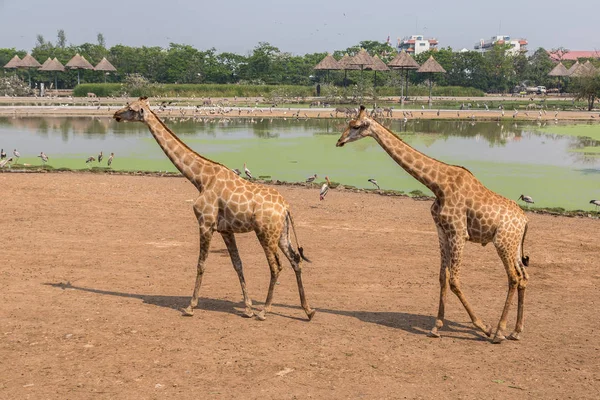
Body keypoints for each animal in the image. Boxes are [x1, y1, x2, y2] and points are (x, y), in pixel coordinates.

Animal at [114, 97, 316, 322]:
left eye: (130, 108)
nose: (116, 115)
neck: (200, 179)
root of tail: (286, 208)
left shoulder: (205, 223)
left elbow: (201, 264)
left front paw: (190, 306)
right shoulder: (226, 230)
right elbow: (237, 264)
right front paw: (247, 308)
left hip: (266, 233)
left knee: (276, 266)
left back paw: (265, 311)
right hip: (282, 234)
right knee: (295, 260)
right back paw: (308, 310)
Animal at [338, 106, 528, 344]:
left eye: (355, 126)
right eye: (348, 123)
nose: (339, 141)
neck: (438, 185)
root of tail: (525, 220)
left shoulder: (458, 232)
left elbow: (454, 280)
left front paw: (483, 326)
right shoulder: (441, 230)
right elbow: (442, 277)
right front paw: (436, 326)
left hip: (503, 242)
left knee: (513, 278)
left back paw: (499, 332)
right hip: (514, 245)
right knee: (523, 278)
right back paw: (516, 331)